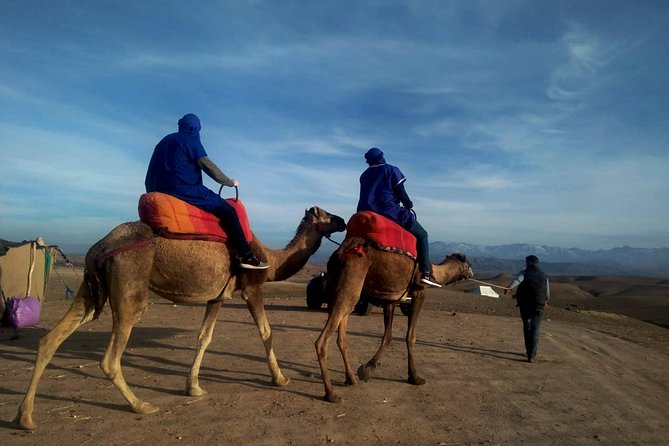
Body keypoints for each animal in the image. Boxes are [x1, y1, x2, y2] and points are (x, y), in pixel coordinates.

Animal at [14, 205, 344, 428]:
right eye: (326, 214)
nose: (342, 221)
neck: (271, 259)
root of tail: (97, 248)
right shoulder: (252, 288)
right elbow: (266, 332)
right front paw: (281, 378)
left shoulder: (217, 296)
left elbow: (204, 337)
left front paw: (193, 387)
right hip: (130, 287)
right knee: (110, 358)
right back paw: (141, 405)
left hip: (90, 289)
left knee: (50, 340)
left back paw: (25, 417)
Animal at [316, 237, 472, 404]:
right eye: (468, 265)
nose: (472, 272)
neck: (435, 271)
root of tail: (340, 254)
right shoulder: (419, 292)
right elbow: (411, 336)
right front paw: (415, 377)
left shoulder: (390, 300)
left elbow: (388, 336)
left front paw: (367, 368)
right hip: (349, 285)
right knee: (322, 341)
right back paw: (331, 393)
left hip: (343, 290)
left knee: (342, 338)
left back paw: (351, 379)